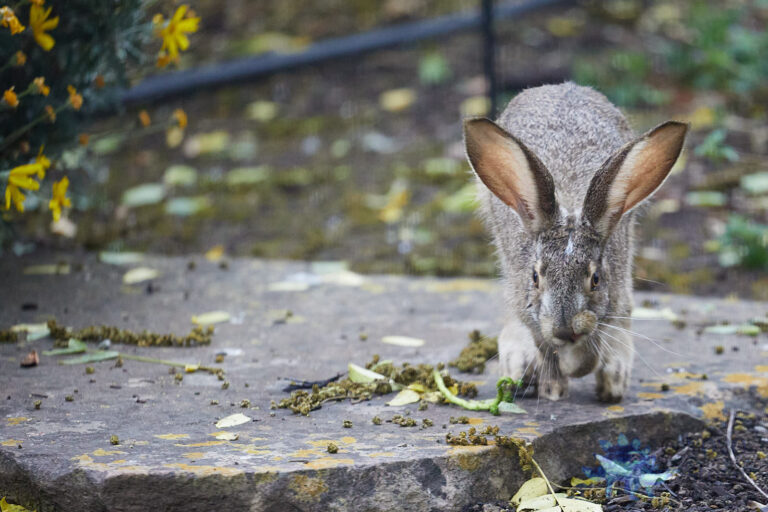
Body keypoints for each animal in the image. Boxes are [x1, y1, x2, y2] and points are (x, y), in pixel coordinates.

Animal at [463, 82, 687, 403]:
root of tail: (560, 86)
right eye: (535, 277)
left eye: (595, 279)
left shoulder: (608, 303)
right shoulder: (533, 315)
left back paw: (613, 383)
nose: (564, 329)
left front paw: (581, 371)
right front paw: (554, 389)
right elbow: (546, 349)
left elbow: (592, 350)